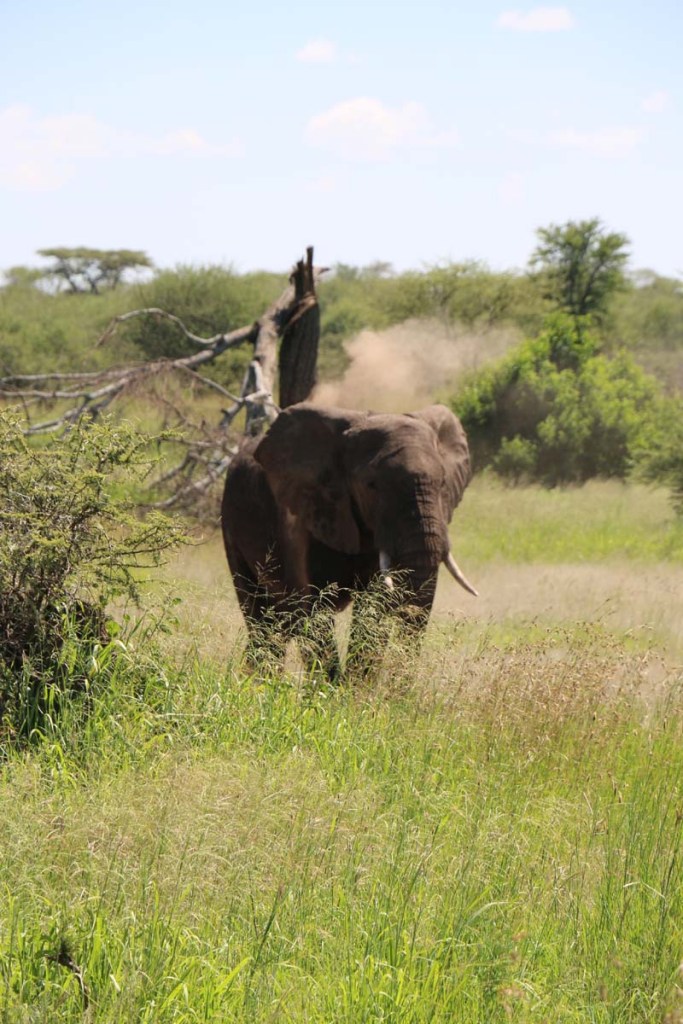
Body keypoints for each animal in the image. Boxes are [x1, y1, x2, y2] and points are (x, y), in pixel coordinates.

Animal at [221, 401, 477, 681]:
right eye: (371, 485)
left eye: (442, 482)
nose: (399, 688)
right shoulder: (299, 518)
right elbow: (313, 607)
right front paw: (330, 689)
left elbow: (373, 606)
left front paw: (357, 688)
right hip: (230, 521)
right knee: (261, 615)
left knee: (278, 623)